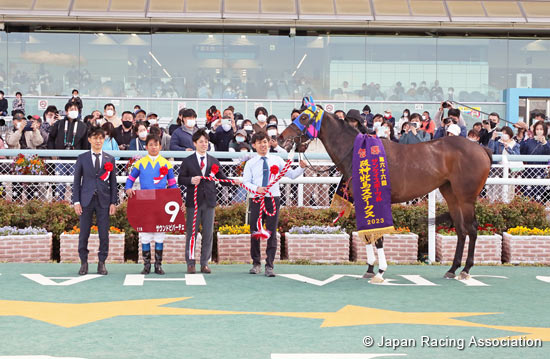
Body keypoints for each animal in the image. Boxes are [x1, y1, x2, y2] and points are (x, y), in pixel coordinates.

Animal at [282, 108, 494, 282]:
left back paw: (466, 270)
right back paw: (452, 269)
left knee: (472, 229)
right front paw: (369, 269)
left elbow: (379, 235)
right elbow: (366, 233)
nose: (281, 138)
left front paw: (380, 271)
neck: (359, 152)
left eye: (303, 117)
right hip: (451, 195)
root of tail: (481, 148)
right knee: (461, 230)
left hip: (466, 198)